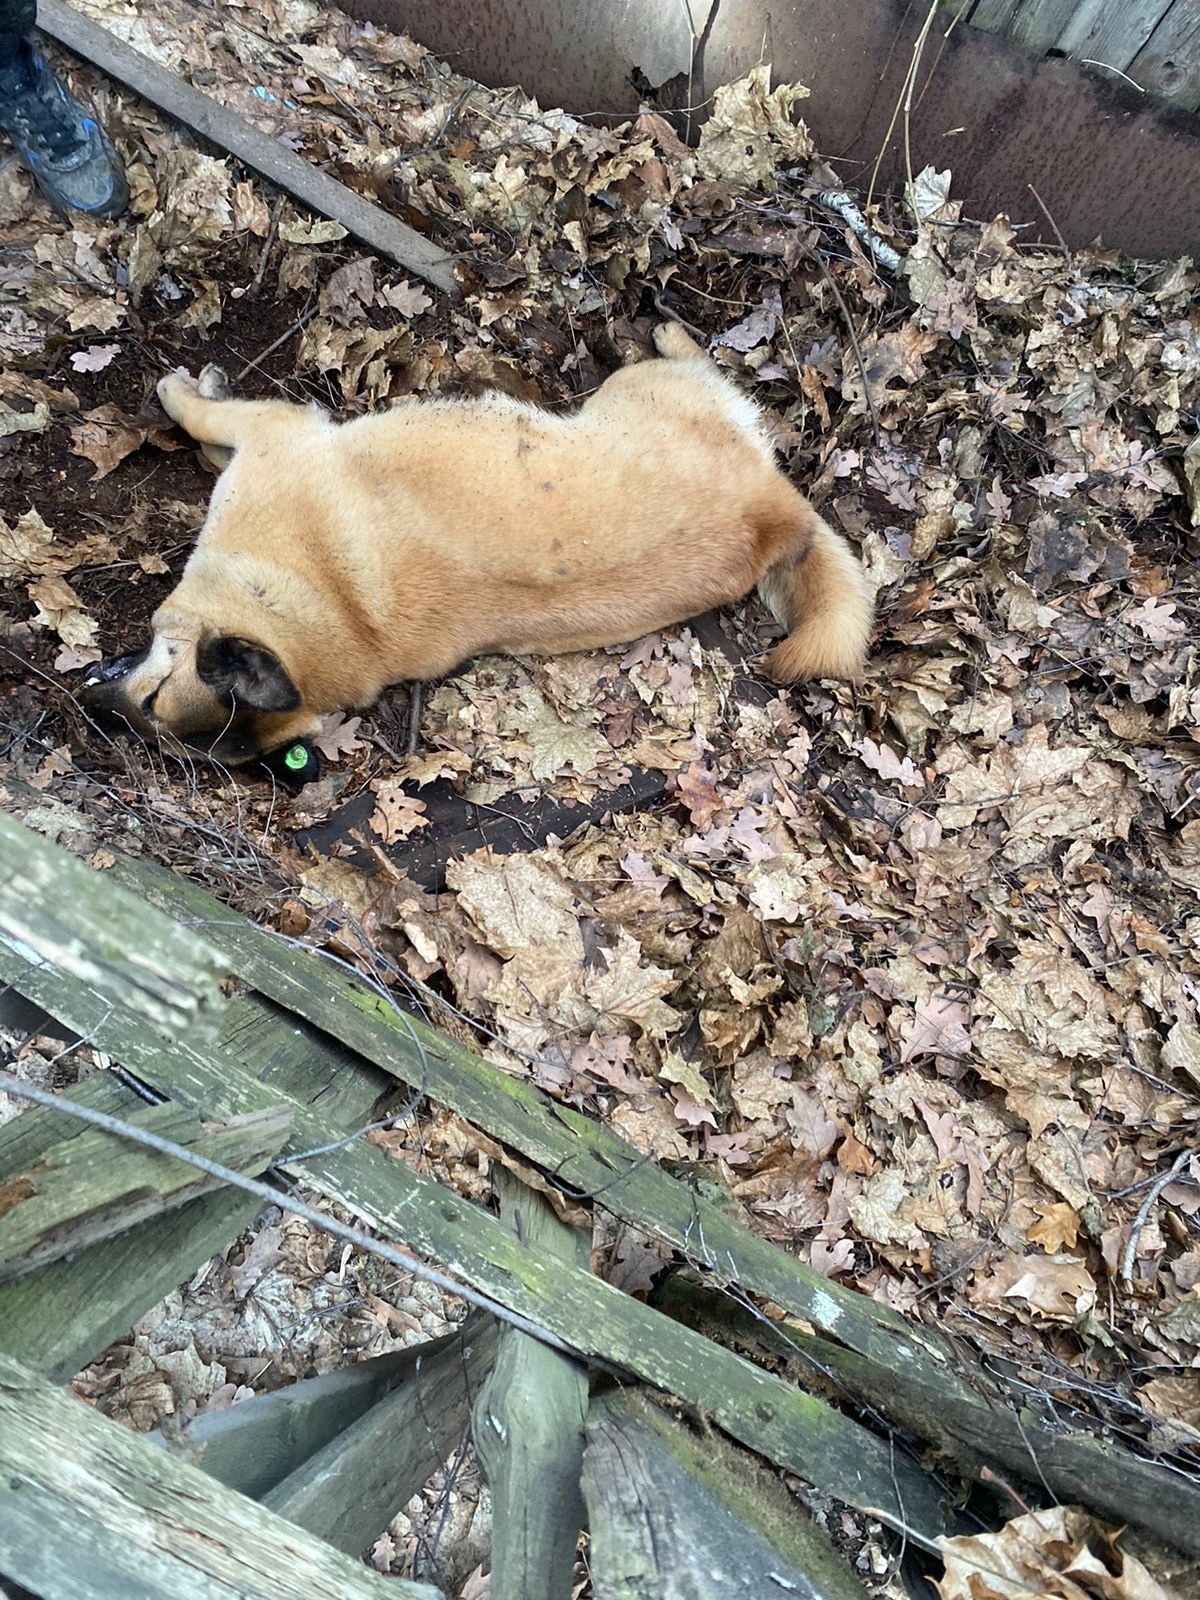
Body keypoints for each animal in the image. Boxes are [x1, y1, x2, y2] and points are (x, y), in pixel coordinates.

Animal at [84, 321, 876, 764]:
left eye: (153, 704)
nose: (91, 724)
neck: (326, 612)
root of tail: (777, 510)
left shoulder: (274, 432)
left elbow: (198, 417)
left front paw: (182, 393)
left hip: (635, 389)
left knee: (695, 359)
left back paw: (663, 331)